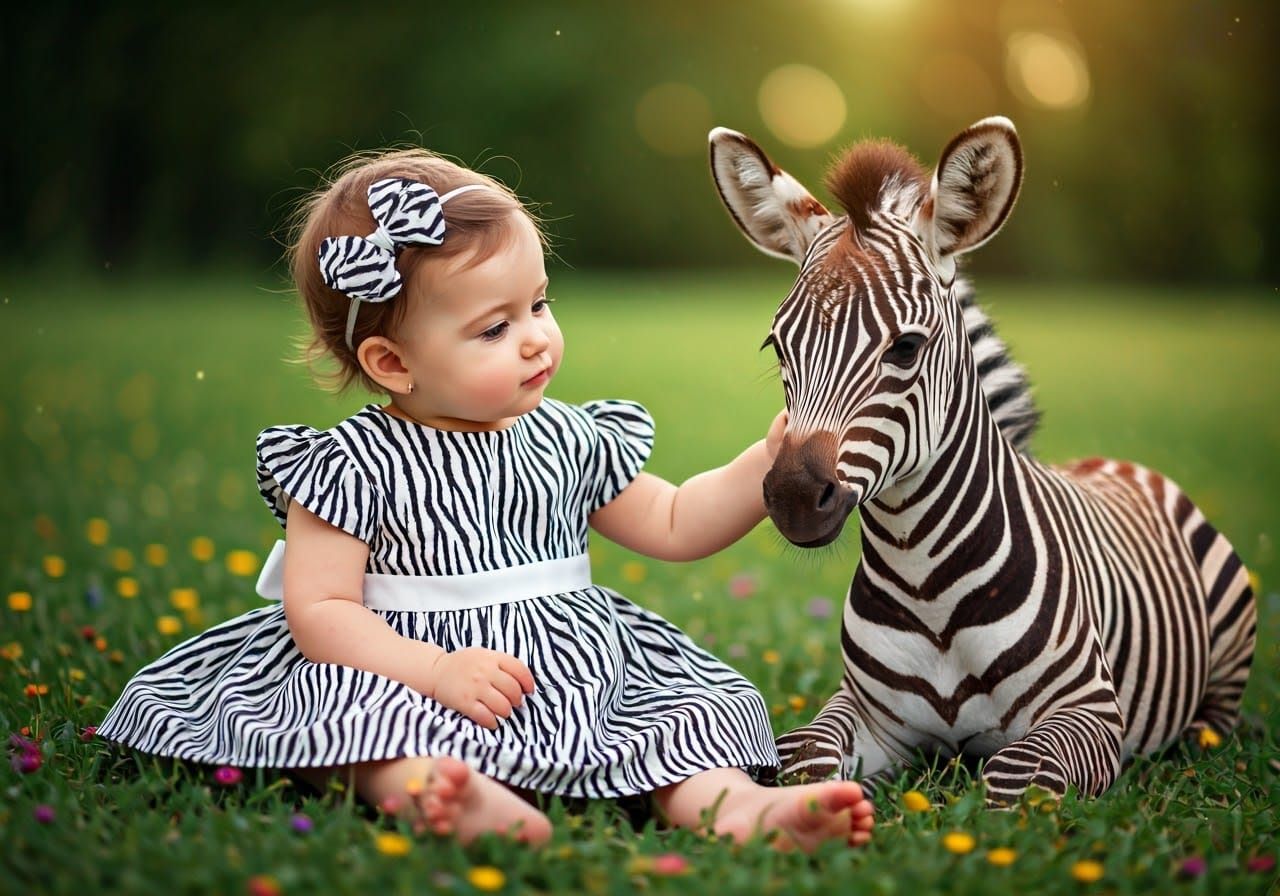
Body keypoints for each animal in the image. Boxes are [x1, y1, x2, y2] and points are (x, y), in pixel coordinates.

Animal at [708, 117, 1256, 803]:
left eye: (907, 347)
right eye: (779, 348)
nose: (792, 499)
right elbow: (803, 759)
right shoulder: (867, 713)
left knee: (1215, 721)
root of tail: (1105, 463)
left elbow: (1015, 780)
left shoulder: (1091, 710)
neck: (925, 585)